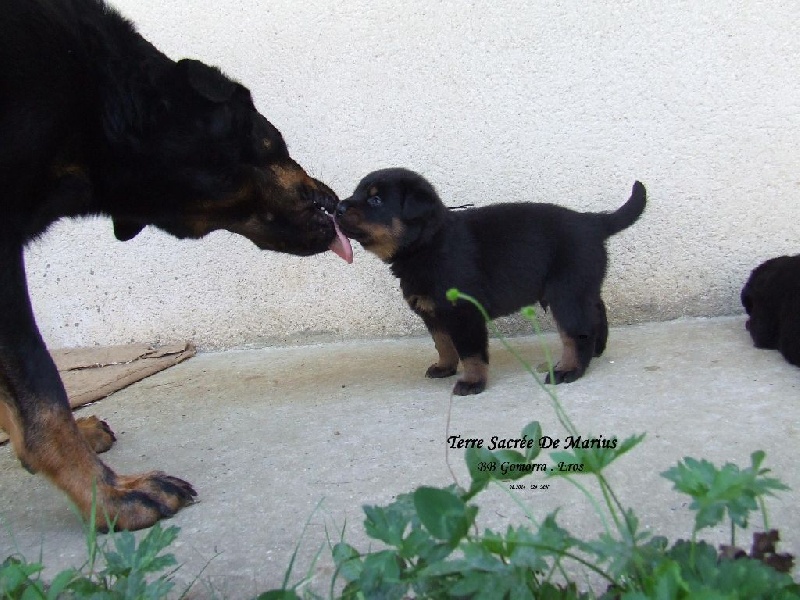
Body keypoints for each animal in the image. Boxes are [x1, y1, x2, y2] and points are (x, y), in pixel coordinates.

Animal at [334, 168, 648, 394]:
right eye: (356, 193)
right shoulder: (432, 312)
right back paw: (597, 350)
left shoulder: (464, 313)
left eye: (375, 200)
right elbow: (443, 343)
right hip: (581, 286)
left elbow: (471, 352)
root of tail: (593, 222)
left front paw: (472, 382)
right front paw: (445, 367)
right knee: (596, 310)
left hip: (566, 293)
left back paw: (568, 370)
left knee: (577, 332)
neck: (428, 244)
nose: (337, 207)